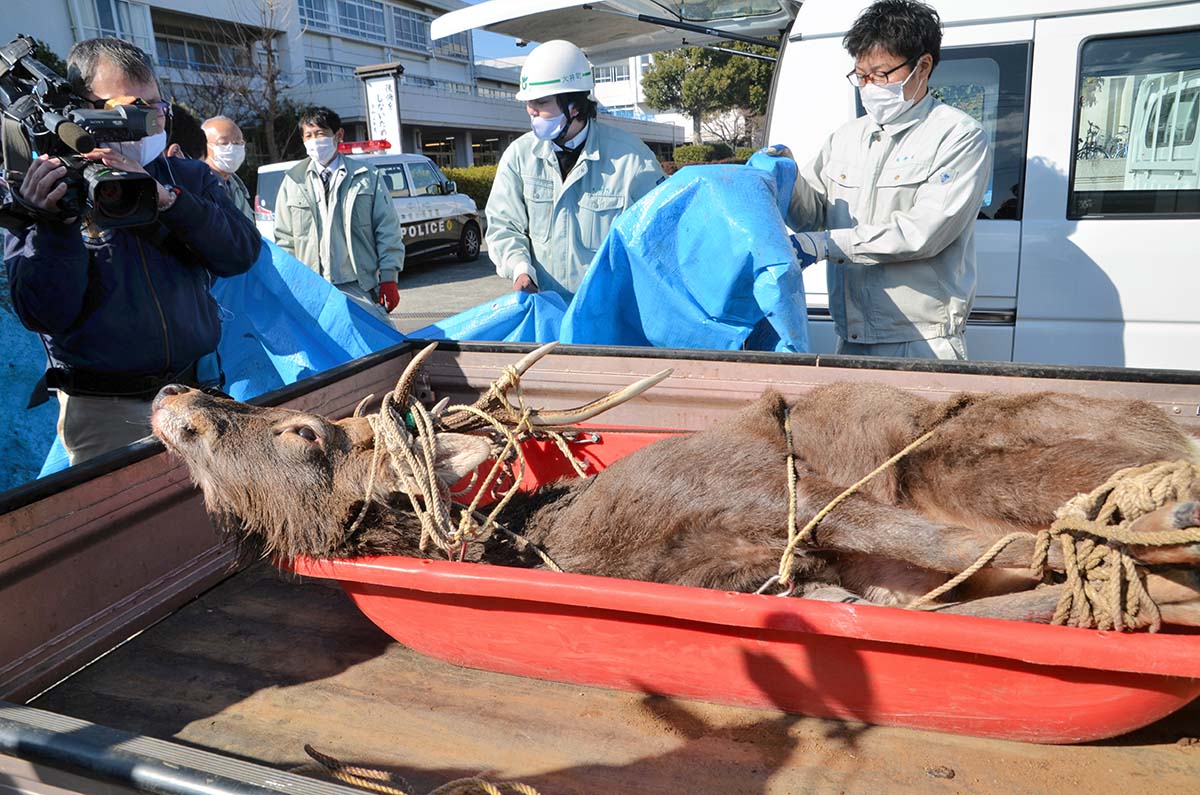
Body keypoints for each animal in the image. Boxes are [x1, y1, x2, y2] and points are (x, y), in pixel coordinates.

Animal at [150, 348, 1200, 629]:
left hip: (970, 455)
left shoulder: (762, 485)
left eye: (300, 429)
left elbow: (1005, 554)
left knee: (1054, 528)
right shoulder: (794, 570)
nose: (171, 394)